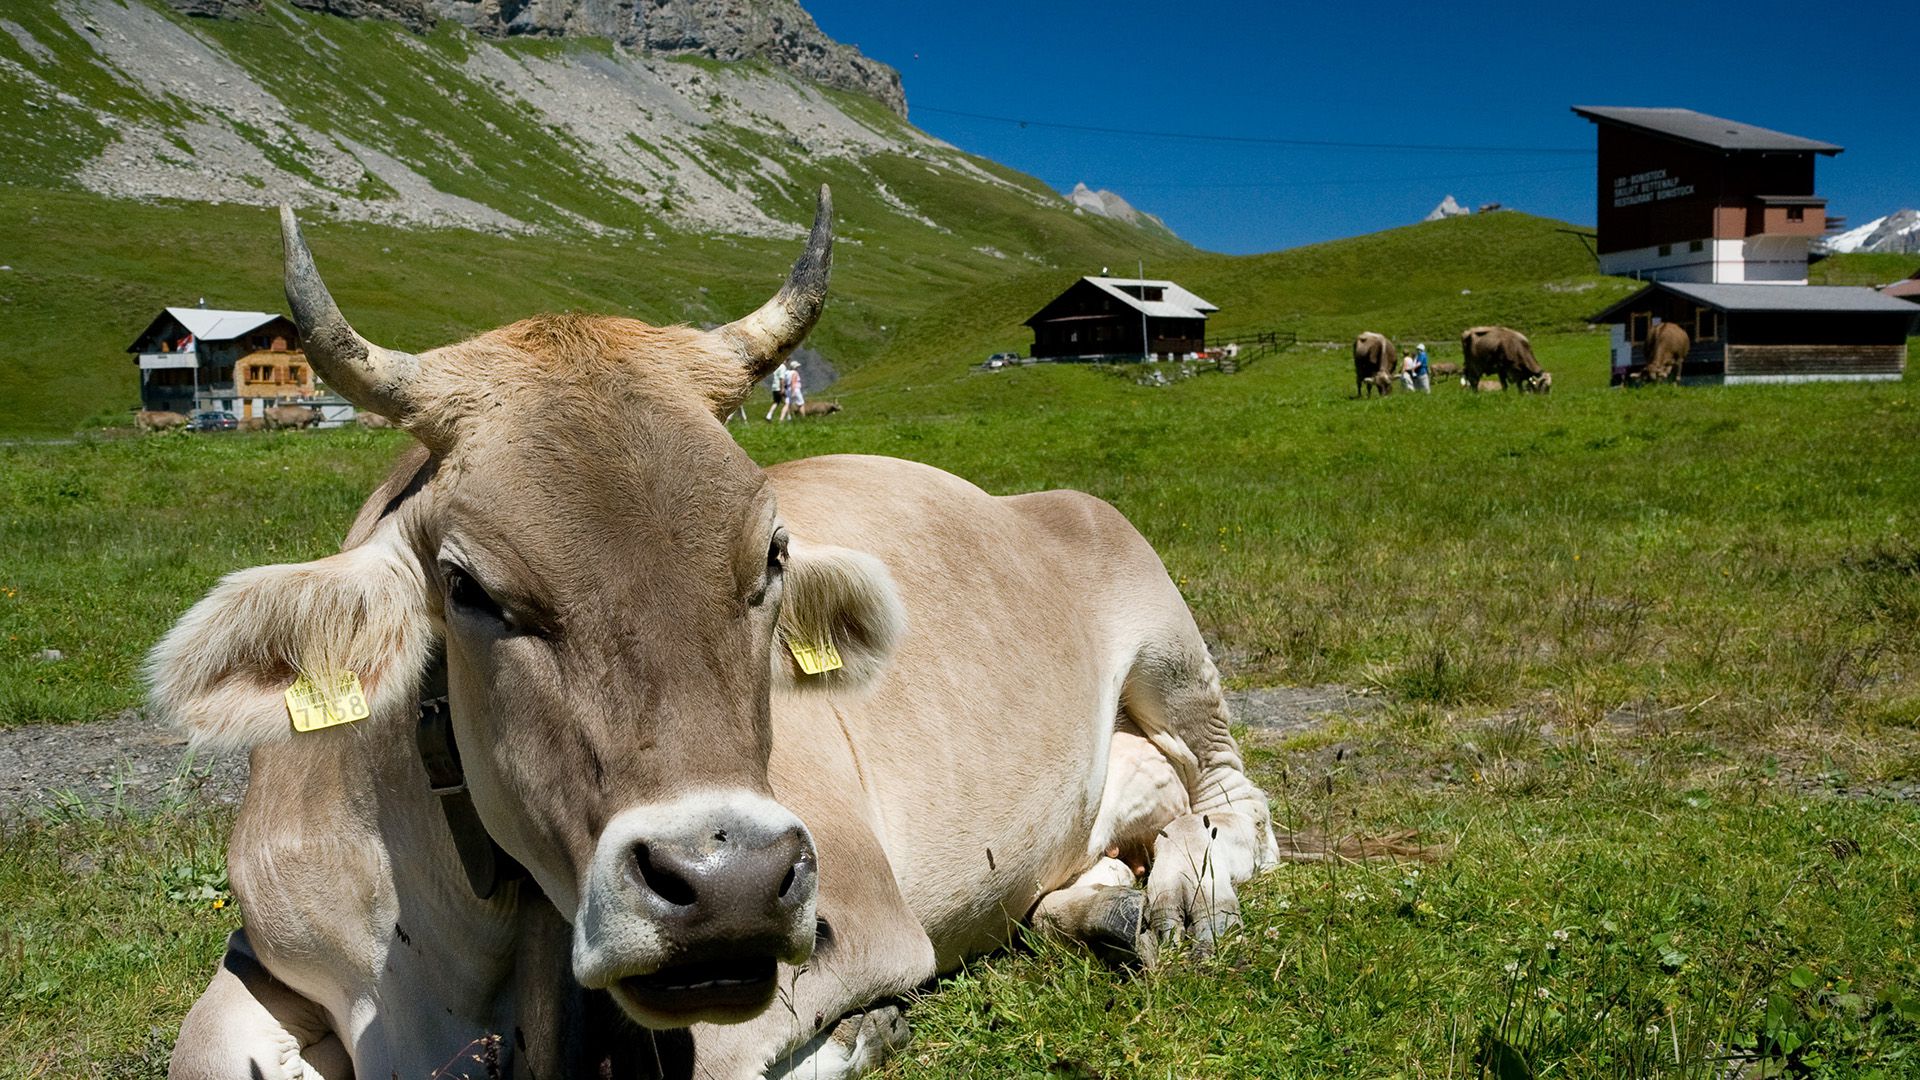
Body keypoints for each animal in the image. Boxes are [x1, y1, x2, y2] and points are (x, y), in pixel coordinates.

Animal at [157, 189, 1282, 1068]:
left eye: (773, 558)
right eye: (467, 587)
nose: (728, 881)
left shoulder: (851, 914)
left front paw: (865, 1032)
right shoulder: (272, 955)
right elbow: (199, 1048)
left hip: (1170, 642)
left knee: (1235, 804)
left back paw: (1189, 896)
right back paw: (1109, 906)